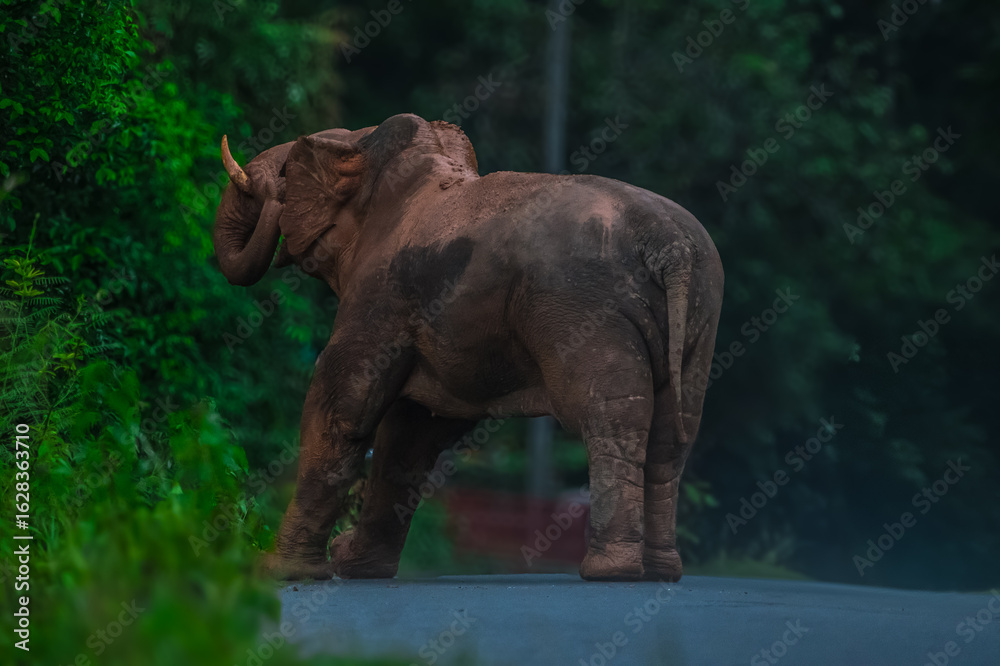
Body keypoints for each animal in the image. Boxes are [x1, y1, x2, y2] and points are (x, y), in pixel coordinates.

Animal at [213, 113, 724, 582]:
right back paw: (660, 572)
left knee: (611, 417)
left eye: (287, 174)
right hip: (701, 317)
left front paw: (279, 572)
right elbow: (411, 432)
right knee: (674, 434)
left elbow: (341, 407)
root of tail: (670, 245)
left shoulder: (383, 292)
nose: (269, 187)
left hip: (589, 312)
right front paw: (355, 567)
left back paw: (610, 572)